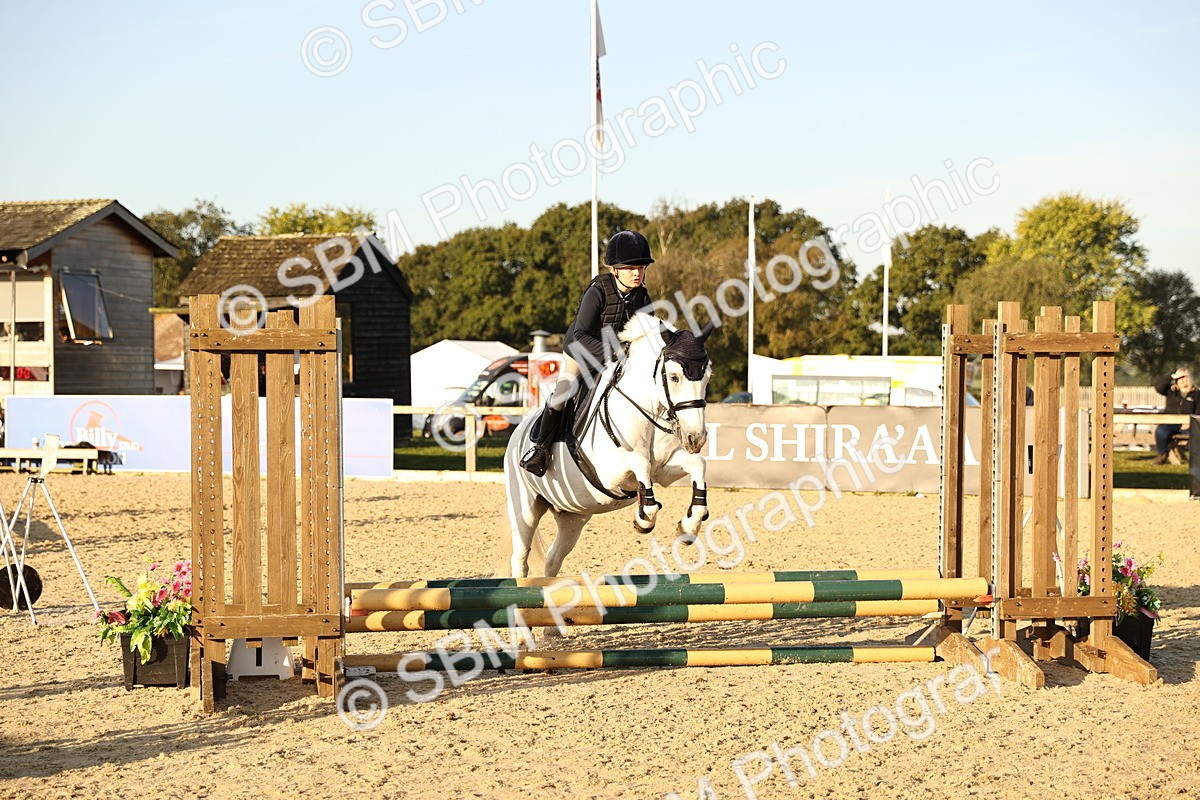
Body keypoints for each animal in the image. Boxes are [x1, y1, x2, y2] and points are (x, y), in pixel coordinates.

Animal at [502, 314, 713, 578]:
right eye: (674, 377)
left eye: (707, 377)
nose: (696, 438)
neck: (646, 408)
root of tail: (518, 431)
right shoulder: (610, 473)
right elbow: (641, 463)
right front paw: (644, 519)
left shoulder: (663, 470)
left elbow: (697, 464)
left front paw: (689, 526)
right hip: (526, 509)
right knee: (520, 557)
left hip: (574, 517)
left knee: (553, 558)